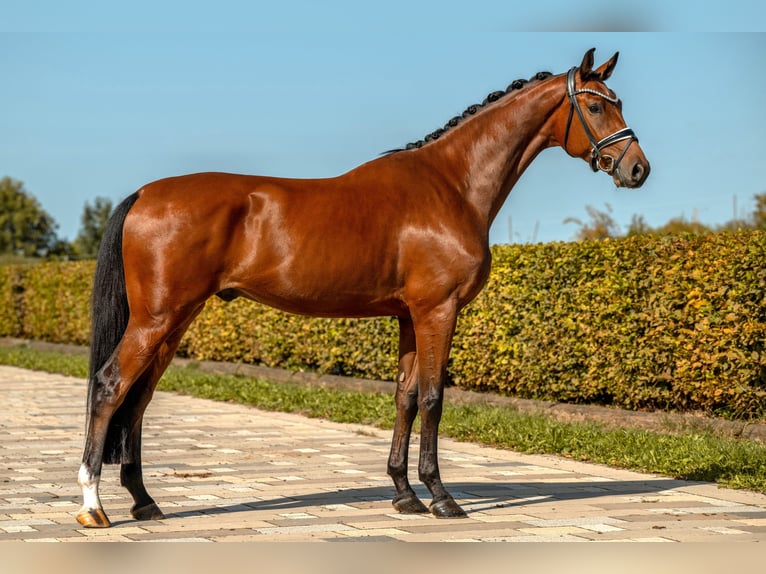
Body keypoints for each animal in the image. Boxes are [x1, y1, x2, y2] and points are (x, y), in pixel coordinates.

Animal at [76, 48, 650, 527]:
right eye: (595, 107)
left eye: (618, 102)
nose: (637, 169)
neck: (451, 184)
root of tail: (144, 194)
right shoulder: (438, 310)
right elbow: (434, 398)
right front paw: (441, 497)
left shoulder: (409, 316)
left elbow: (405, 397)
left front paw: (404, 493)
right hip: (157, 319)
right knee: (110, 386)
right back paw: (93, 506)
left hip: (174, 321)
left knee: (138, 399)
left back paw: (144, 502)